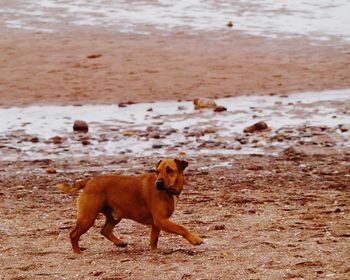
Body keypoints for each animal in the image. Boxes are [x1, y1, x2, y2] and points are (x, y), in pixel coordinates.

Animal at [56, 159, 201, 253]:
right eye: (157, 171)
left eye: (169, 170)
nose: (158, 183)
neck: (169, 192)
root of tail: (89, 181)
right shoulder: (161, 221)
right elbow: (181, 228)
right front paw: (195, 239)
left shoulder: (157, 223)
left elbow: (154, 240)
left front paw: (154, 251)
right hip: (88, 217)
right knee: (73, 234)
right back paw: (77, 251)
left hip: (114, 216)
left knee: (105, 230)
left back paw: (119, 243)